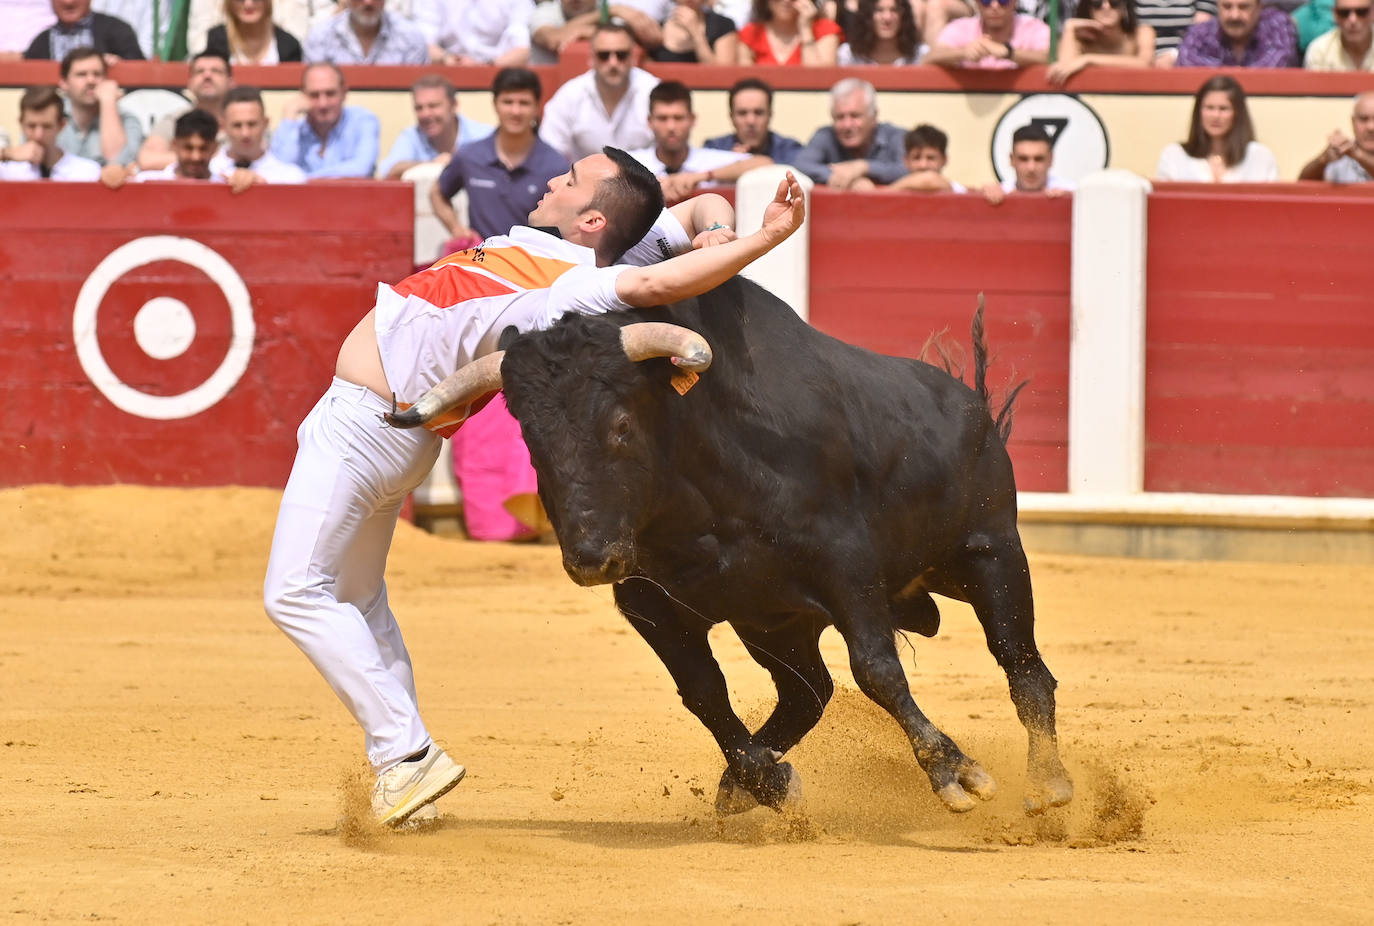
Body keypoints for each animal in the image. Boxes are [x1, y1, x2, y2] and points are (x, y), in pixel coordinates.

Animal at [387, 276, 1071, 813]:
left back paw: (1049, 786)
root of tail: (973, 405)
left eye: (621, 425)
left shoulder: (847, 569)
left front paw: (956, 773)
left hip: (991, 554)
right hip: (775, 622)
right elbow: (703, 693)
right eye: (531, 438)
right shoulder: (653, 606)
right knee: (806, 693)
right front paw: (765, 780)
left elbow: (877, 669)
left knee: (1022, 665)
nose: (592, 560)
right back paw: (745, 782)